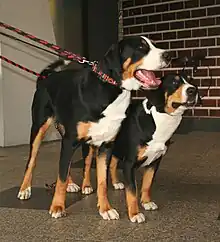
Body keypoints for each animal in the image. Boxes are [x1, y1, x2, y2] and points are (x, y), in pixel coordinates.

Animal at [17, 36, 171, 219]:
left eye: (153, 43)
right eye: (141, 47)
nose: (168, 56)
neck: (112, 90)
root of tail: (46, 78)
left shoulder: (105, 145)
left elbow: (102, 181)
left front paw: (105, 209)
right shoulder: (70, 141)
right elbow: (61, 177)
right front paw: (57, 207)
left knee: (76, 163)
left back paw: (75, 185)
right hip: (40, 128)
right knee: (32, 161)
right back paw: (25, 189)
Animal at [80, 74, 200, 223]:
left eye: (191, 80)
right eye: (174, 82)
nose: (193, 90)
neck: (157, 119)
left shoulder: (155, 161)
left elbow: (147, 184)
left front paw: (146, 202)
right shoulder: (129, 164)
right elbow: (132, 191)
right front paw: (135, 214)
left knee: (112, 163)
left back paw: (116, 183)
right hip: (90, 147)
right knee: (86, 166)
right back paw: (86, 186)